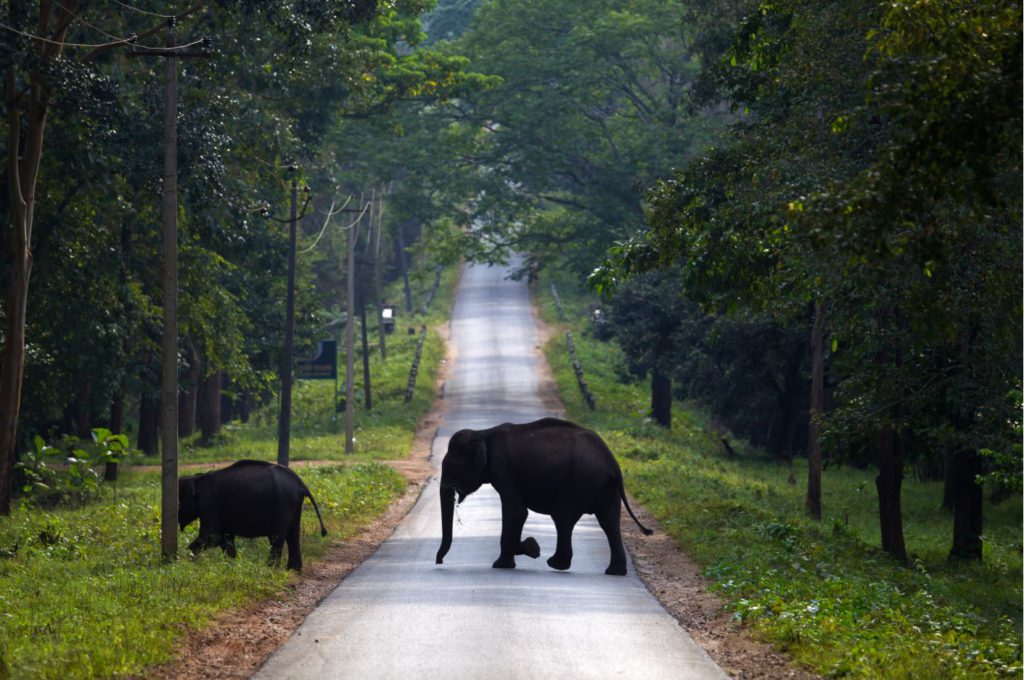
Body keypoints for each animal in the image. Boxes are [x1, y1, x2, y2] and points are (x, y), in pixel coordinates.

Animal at [178, 458, 325, 569]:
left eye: (178, 502)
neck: (197, 478)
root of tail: (300, 484)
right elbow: (226, 538)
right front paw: (233, 565)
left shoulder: (210, 504)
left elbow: (213, 537)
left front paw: (187, 562)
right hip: (294, 505)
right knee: (293, 534)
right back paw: (292, 569)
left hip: (283, 504)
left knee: (277, 537)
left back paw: (270, 568)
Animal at [436, 417, 651, 577]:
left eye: (450, 467)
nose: (439, 561)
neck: (482, 433)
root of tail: (613, 463)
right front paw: (519, 555)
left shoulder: (504, 469)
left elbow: (516, 512)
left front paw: (530, 549)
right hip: (605, 488)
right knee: (609, 522)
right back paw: (614, 571)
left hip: (579, 482)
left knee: (564, 518)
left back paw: (555, 563)